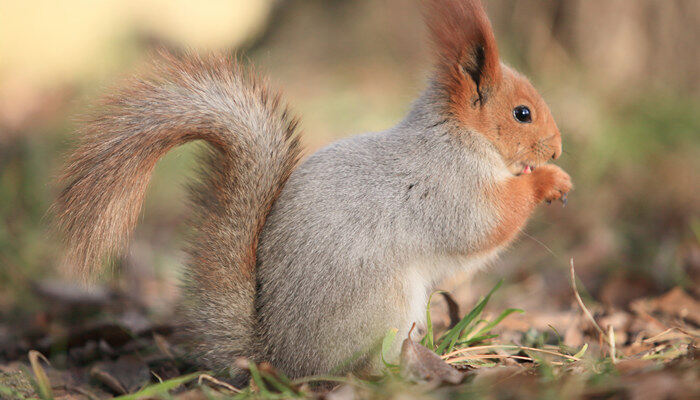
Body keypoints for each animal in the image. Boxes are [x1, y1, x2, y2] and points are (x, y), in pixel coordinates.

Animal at [53, 0, 568, 382]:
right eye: (522, 113)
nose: (558, 149)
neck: (459, 135)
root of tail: (277, 357)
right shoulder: (449, 186)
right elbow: (489, 225)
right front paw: (548, 181)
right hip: (383, 307)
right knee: (359, 367)